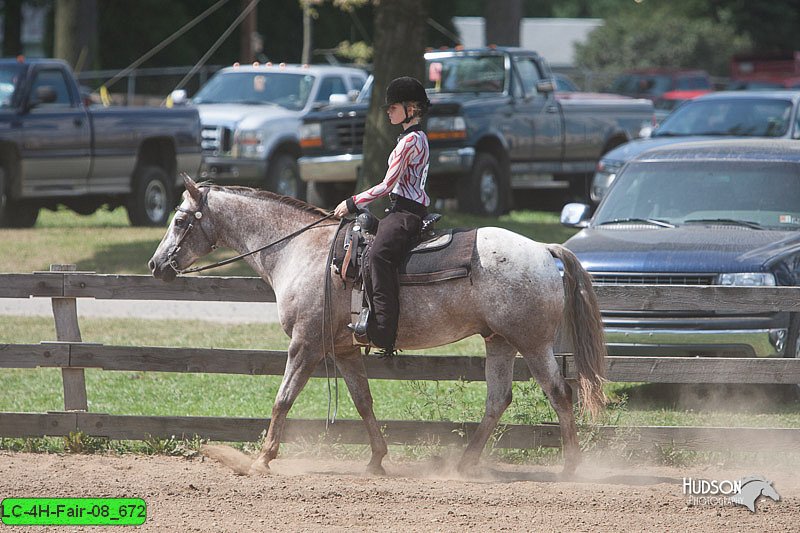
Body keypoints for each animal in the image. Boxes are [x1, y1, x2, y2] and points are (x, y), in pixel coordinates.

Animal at [148, 177, 608, 476]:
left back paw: (571, 467)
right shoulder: (343, 349)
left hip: (533, 343)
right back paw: (464, 464)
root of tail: (544, 250)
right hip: (499, 342)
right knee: (498, 400)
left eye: (179, 221)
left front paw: (261, 460)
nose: (155, 265)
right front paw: (376, 460)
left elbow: (283, 399)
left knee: (560, 393)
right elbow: (363, 402)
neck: (301, 250)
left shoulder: (305, 344)